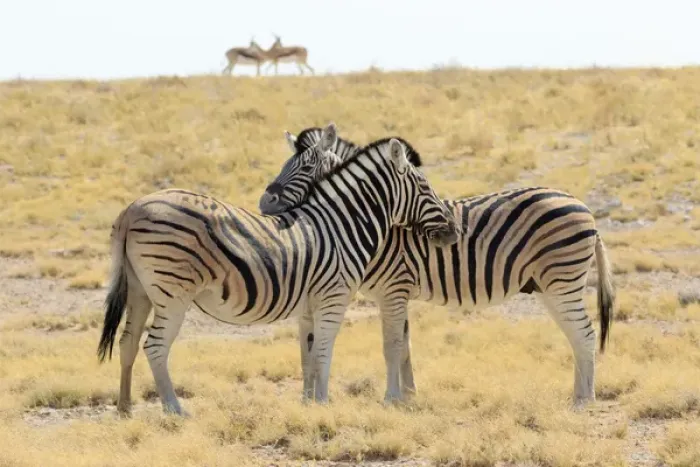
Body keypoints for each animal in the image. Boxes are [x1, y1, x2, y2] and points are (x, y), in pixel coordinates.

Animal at [97, 123, 461, 416]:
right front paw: (324, 404)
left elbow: (310, 356)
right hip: (173, 293)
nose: (454, 231)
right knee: (155, 346)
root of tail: (132, 208)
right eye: (426, 188)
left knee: (128, 342)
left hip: (140, 290)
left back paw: (125, 408)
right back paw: (175, 410)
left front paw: (311, 403)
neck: (342, 225)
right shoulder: (333, 298)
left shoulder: (310, 305)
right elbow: (325, 352)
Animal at [258, 128, 616, 407]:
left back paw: (585, 400)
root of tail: (583, 207)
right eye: (284, 164)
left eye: (306, 166)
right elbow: (404, 347)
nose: (264, 203)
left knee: (585, 333)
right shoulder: (397, 293)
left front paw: (391, 399)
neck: (374, 222)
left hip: (563, 281)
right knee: (576, 334)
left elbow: (392, 346)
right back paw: (578, 395)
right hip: (548, 286)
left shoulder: (394, 289)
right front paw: (409, 396)